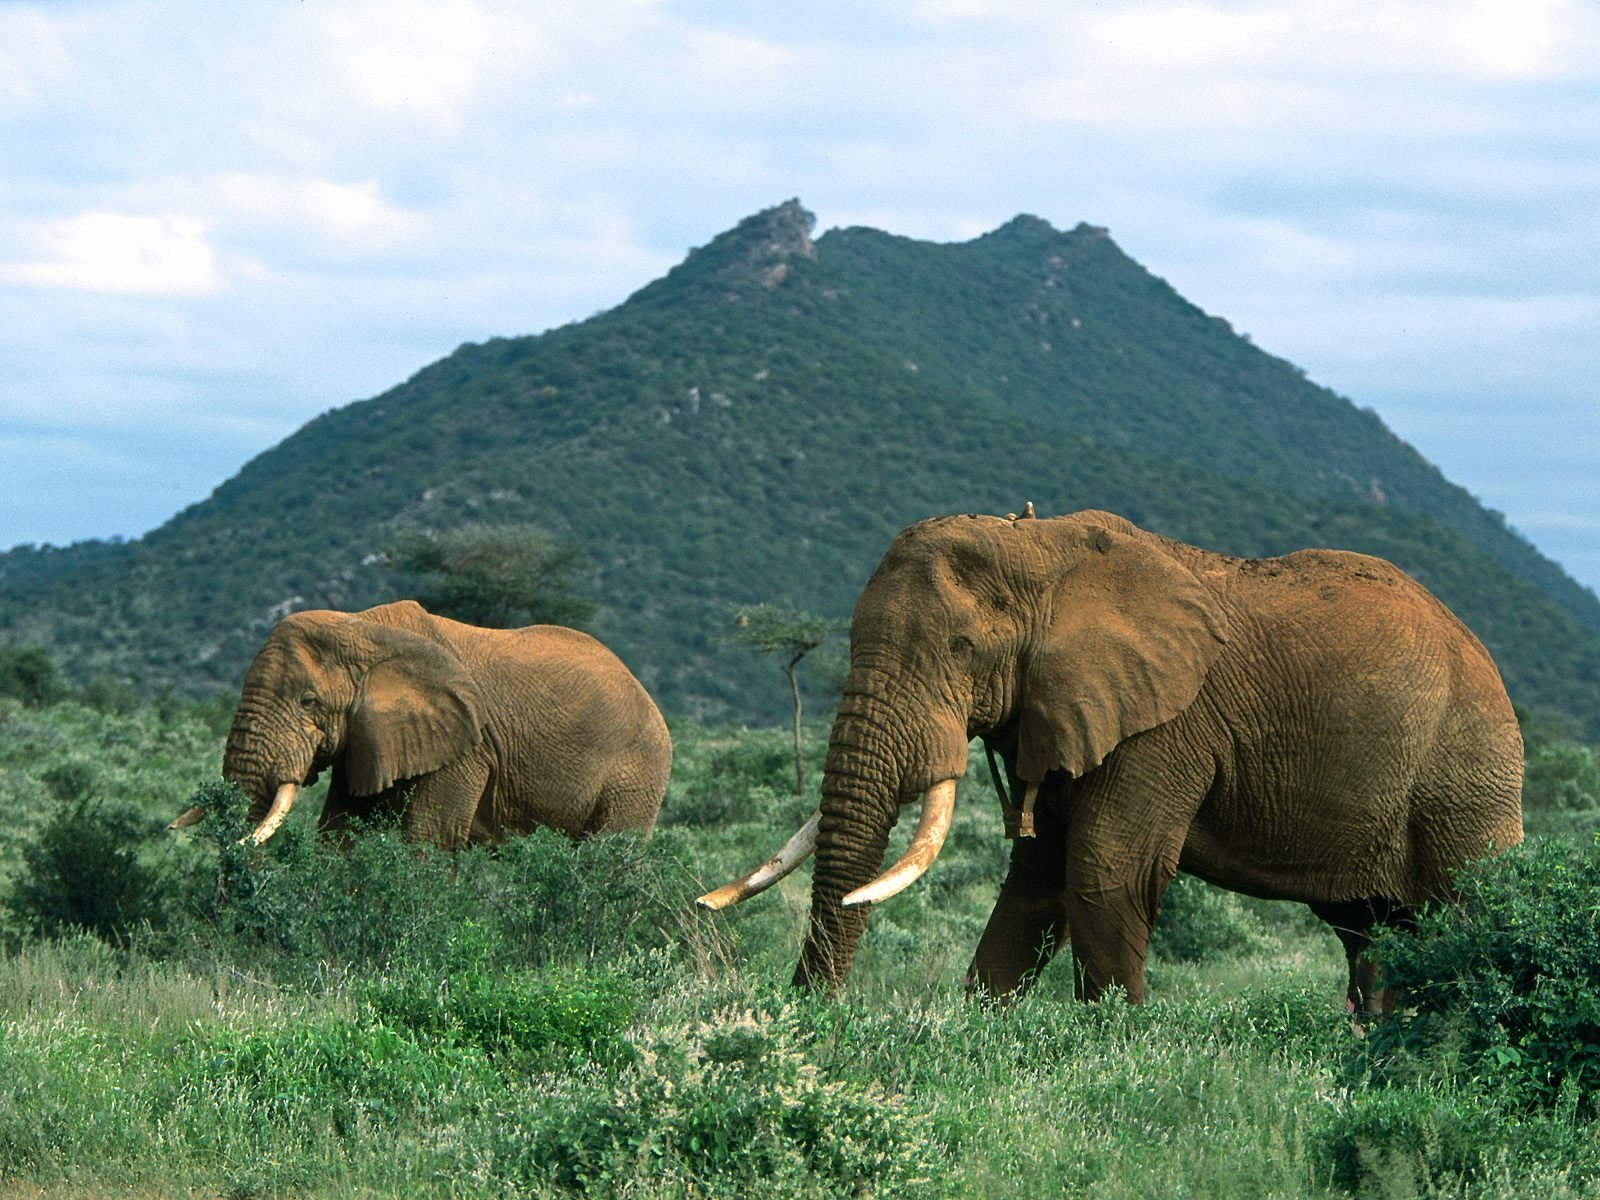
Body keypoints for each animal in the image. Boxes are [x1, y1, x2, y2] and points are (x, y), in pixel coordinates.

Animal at [171, 600, 672, 847]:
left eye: (308, 701)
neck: (363, 629)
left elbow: (428, 837)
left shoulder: (467, 745)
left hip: (638, 770)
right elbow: (340, 832)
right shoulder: (369, 738)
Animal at [701, 508, 1523, 1013]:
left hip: (1467, 771)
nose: (809, 1016)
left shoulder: (1165, 723)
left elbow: (1103, 870)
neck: (1043, 551)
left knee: (1468, 911)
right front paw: (981, 1029)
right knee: (1375, 933)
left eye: (962, 649)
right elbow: (1035, 883)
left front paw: (1114, 1042)